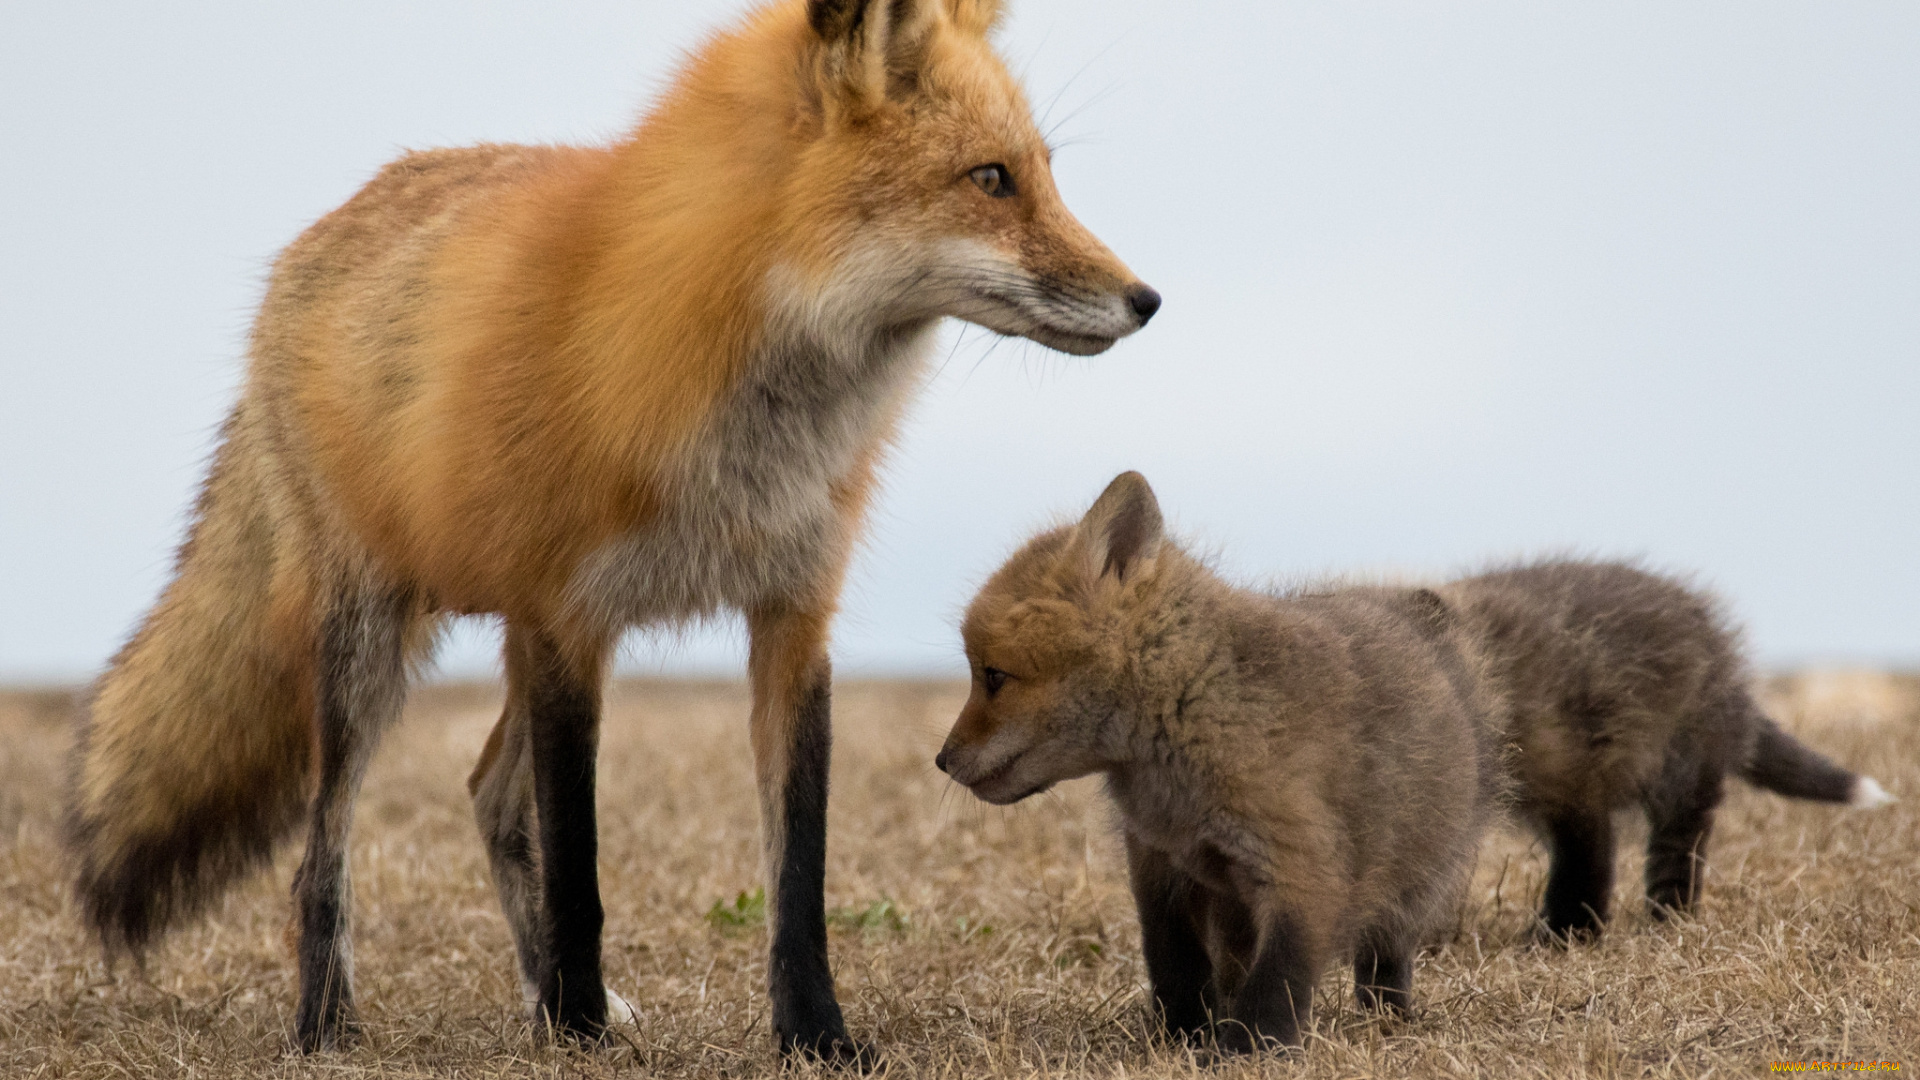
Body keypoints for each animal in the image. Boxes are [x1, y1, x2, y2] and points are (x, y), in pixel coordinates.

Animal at [67, 0, 1159, 1060]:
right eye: (991, 180)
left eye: (1044, 174)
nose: (1146, 300)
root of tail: (314, 238)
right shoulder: (568, 620)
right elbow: (580, 866)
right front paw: (580, 1026)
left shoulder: (790, 615)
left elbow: (796, 875)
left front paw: (813, 1035)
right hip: (372, 646)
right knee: (324, 852)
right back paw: (332, 1023)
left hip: (505, 638)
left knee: (487, 795)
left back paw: (535, 997)